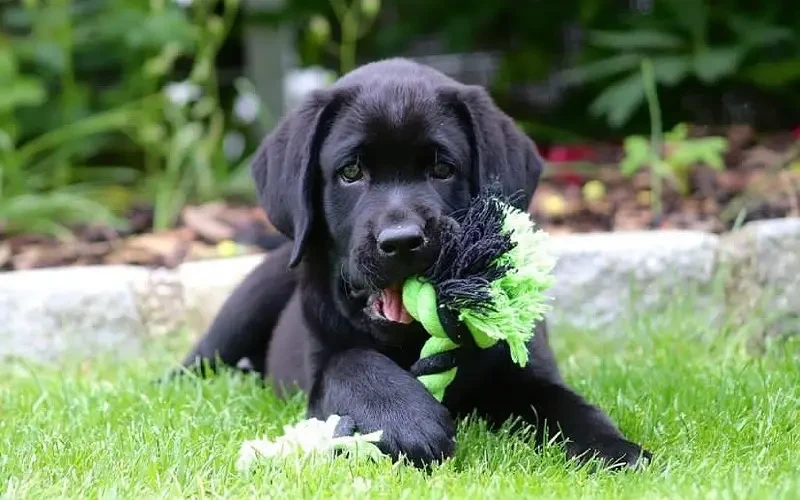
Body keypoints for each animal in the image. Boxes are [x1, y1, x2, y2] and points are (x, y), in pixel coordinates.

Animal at [178, 57, 652, 468]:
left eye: (442, 169)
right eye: (351, 172)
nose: (402, 241)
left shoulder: (523, 369)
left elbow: (563, 403)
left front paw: (613, 449)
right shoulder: (316, 363)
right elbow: (349, 363)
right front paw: (408, 421)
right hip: (245, 305)